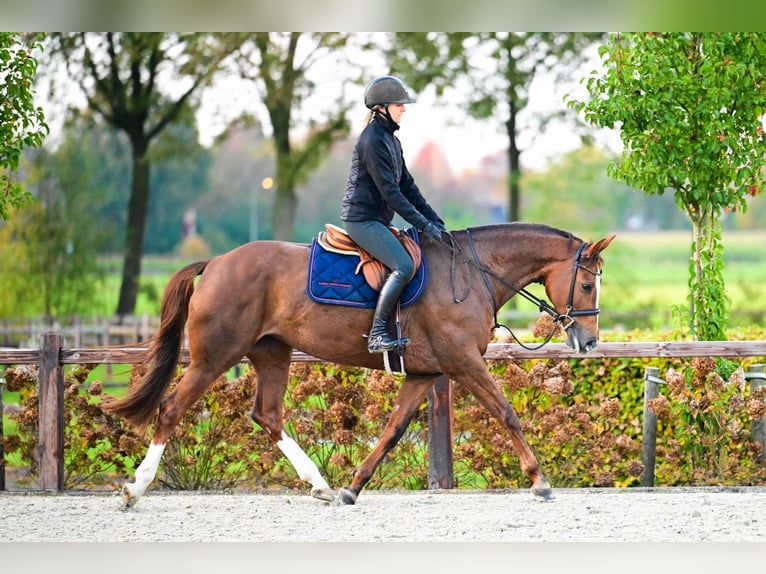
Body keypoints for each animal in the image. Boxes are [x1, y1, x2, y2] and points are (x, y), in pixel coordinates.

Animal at [103, 223, 616, 510]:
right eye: (587, 284)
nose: (589, 342)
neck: (473, 273)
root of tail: (216, 262)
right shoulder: (464, 363)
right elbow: (506, 412)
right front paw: (540, 481)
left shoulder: (425, 374)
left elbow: (391, 431)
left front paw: (353, 487)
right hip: (216, 357)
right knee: (172, 410)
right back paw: (135, 489)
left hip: (272, 354)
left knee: (268, 415)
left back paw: (320, 486)